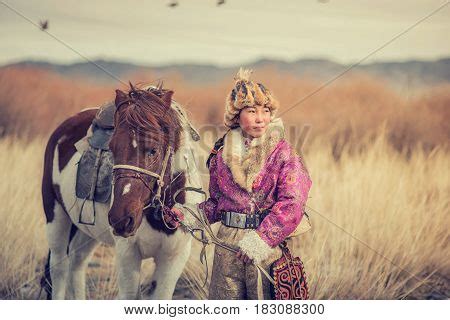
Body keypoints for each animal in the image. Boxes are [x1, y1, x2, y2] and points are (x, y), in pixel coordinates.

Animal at [42, 85, 204, 300]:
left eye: (153, 150)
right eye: (112, 147)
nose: (121, 219)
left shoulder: (174, 258)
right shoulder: (128, 255)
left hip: (88, 232)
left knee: (77, 263)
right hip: (56, 217)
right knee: (59, 268)